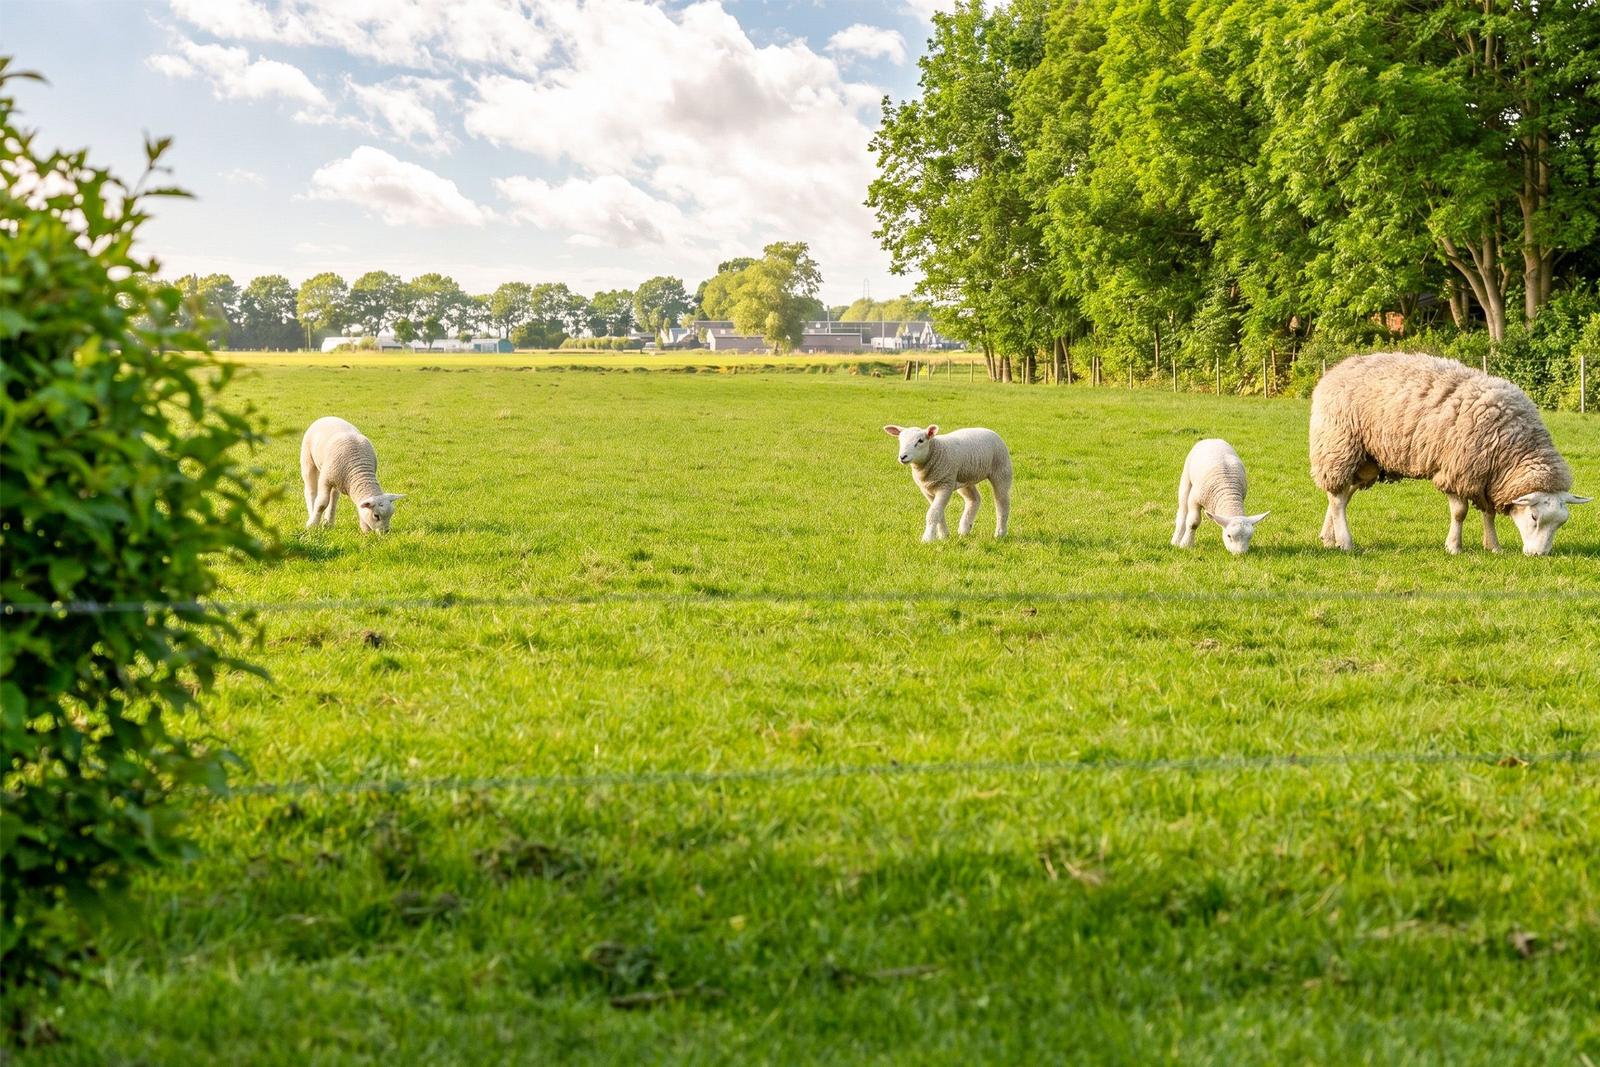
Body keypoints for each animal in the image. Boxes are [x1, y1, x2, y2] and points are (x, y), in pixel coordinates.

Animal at [883, 424, 1011, 542]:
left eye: (920, 441)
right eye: (900, 440)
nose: (903, 457)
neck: (936, 451)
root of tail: (987, 429)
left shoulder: (945, 486)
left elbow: (933, 513)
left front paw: (927, 539)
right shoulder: (927, 490)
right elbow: (939, 513)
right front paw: (944, 536)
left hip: (1001, 469)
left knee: (1002, 502)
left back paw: (1000, 533)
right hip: (964, 478)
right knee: (974, 499)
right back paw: (964, 529)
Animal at [1309, 352, 1590, 555]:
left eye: (1562, 522)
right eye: (1533, 516)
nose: (1539, 555)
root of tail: (1335, 370)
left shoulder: (1488, 477)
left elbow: (1488, 513)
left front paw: (1494, 546)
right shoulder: (1459, 471)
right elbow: (1460, 513)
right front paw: (1454, 547)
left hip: (1366, 461)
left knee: (1341, 496)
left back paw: (1328, 538)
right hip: (1339, 447)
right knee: (1337, 497)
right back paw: (1345, 542)